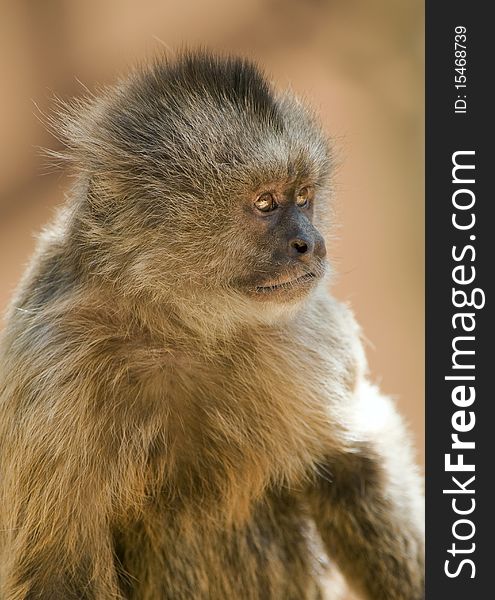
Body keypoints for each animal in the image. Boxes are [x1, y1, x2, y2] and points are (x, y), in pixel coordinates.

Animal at [0, 52, 426, 600]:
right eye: (266, 203)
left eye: (304, 197)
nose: (312, 243)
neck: (179, 326)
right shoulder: (53, 369)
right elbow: (55, 567)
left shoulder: (305, 335)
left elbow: (354, 462)